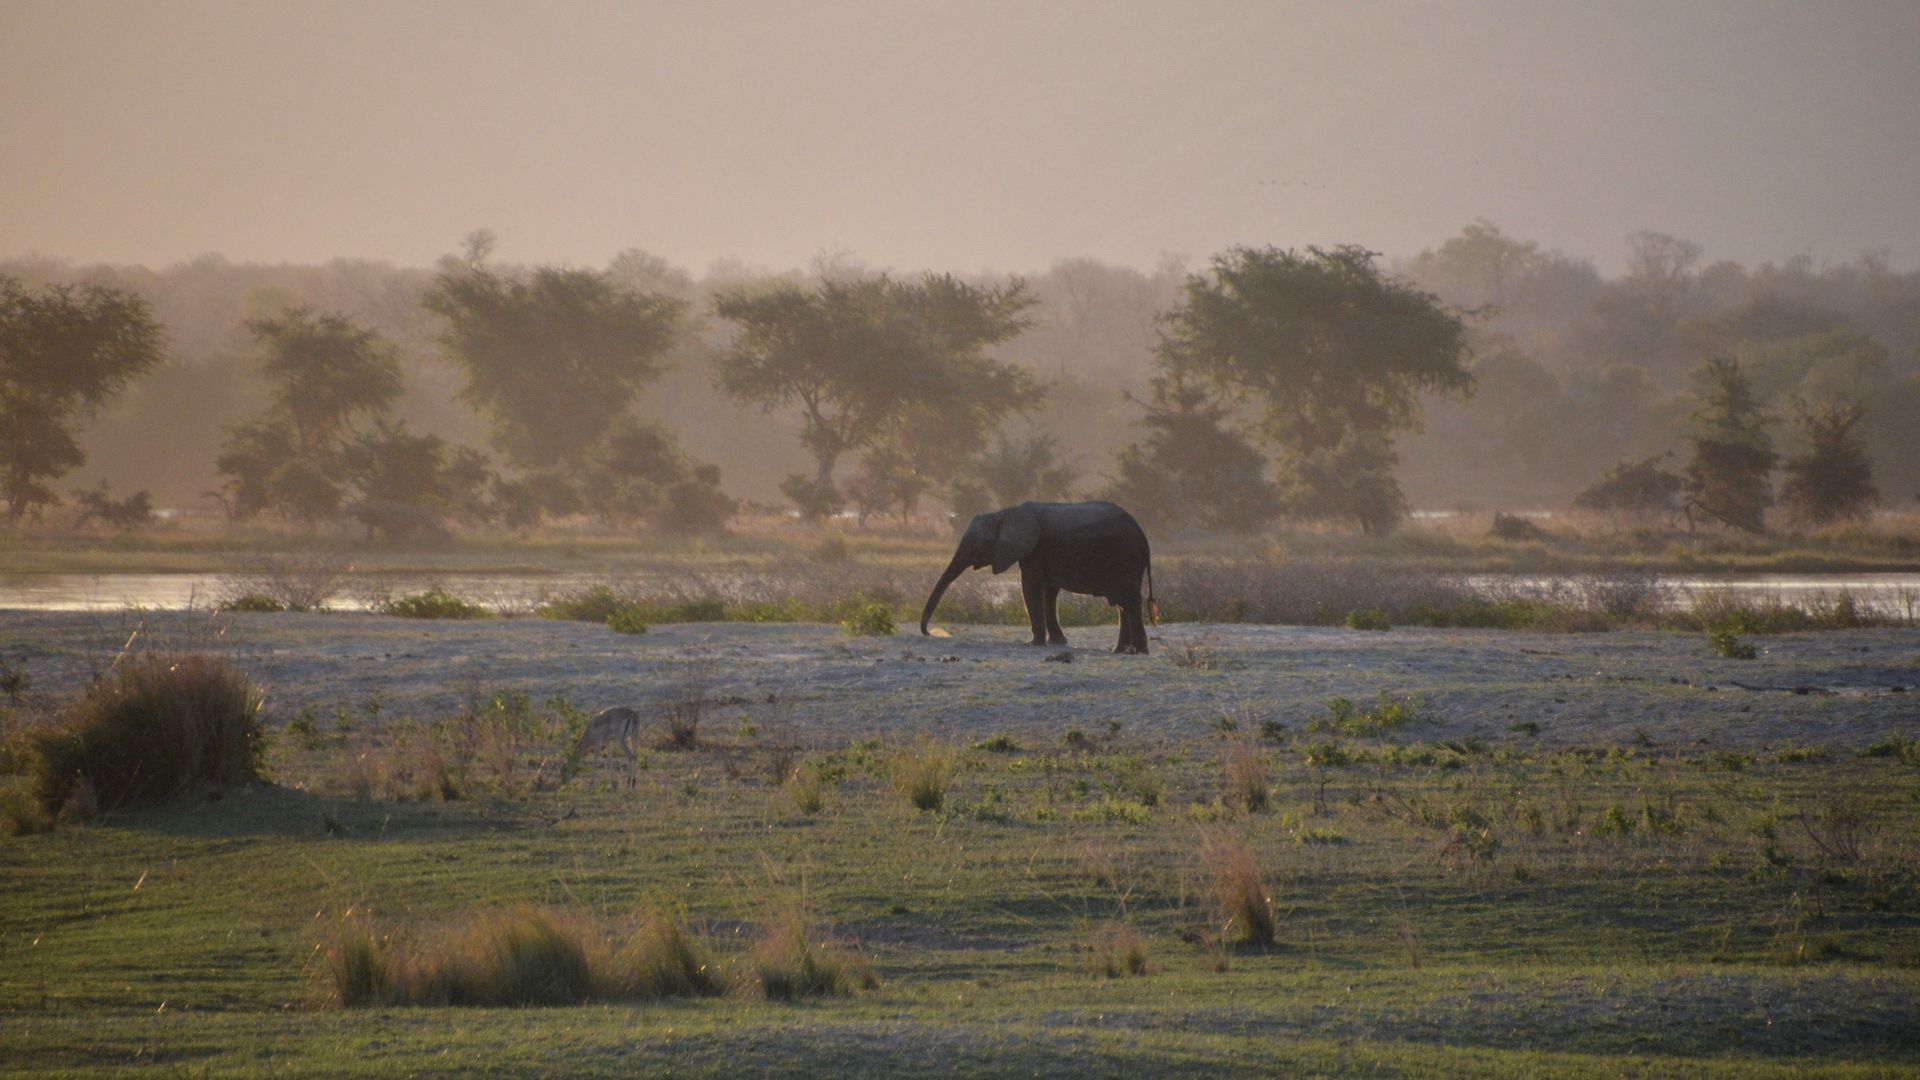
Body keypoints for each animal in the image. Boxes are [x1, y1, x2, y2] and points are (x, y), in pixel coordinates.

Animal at [917, 499, 1152, 657]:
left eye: (978, 542)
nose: (931, 633)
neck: (1003, 513)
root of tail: (1141, 533)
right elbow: (1049, 592)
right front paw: (1057, 643)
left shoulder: (1036, 549)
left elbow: (1030, 587)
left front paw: (1033, 644)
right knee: (1122, 603)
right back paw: (1121, 650)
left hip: (1123, 556)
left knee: (1129, 599)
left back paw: (1138, 651)